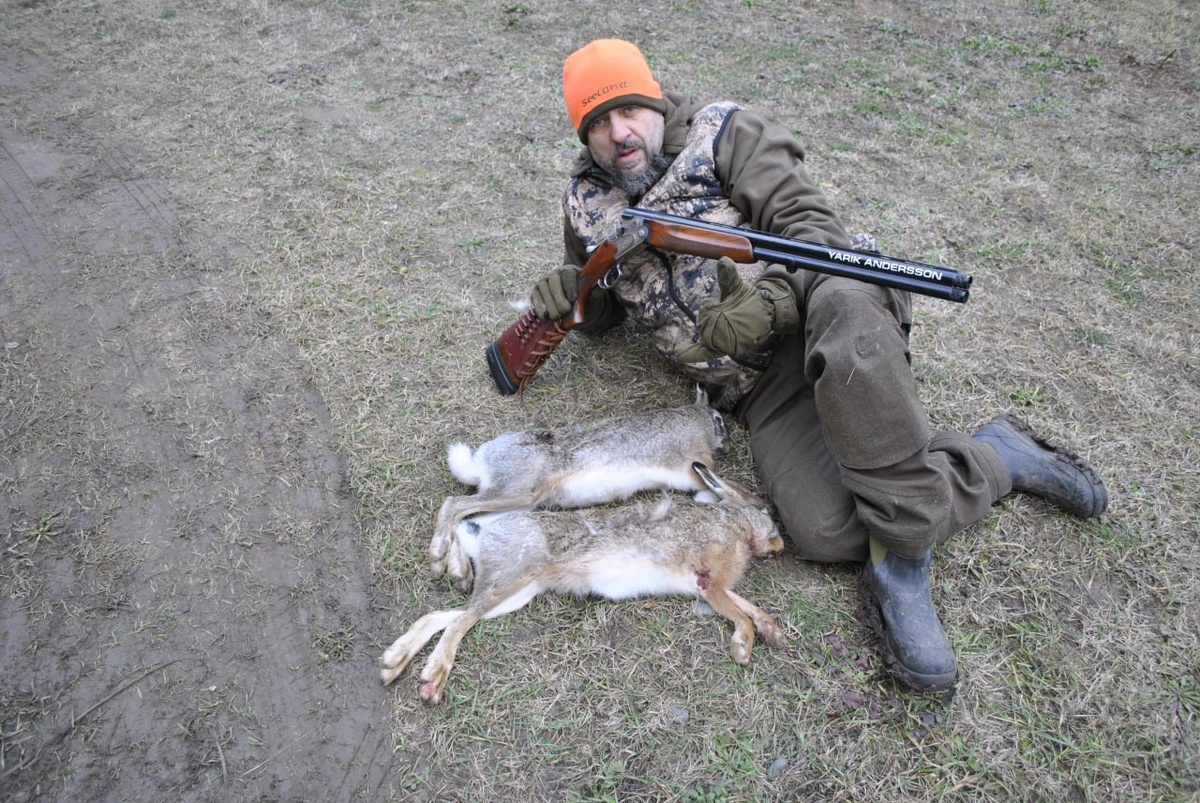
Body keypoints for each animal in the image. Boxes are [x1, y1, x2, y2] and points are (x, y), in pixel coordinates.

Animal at [382, 467, 785, 705]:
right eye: (768, 518)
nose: (780, 547)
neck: (735, 525)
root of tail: (482, 533)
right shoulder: (709, 581)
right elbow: (738, 613)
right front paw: (743, 648)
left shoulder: (705, 586)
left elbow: (745, 604)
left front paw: (773, 630)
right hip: (512, 576)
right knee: (459, 621)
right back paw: (432, 680)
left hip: (517, 594)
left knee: (444, 616)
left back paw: (393, 662)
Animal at [427, 386, 753, 592]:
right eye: (719, 419)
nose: (729, 444)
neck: (699, 422)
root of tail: (481, 460)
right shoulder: (693, 464)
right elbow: (723, 483)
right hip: (517, 490)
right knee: (454, 504)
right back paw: (438, 557)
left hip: (520, 502)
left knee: (468, 518)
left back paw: (460, 573)